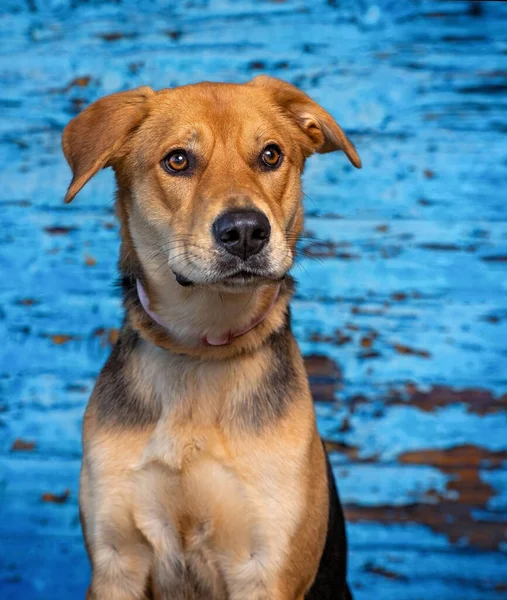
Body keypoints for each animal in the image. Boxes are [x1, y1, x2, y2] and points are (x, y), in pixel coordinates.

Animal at [62, 76, 362, 600]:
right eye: (178, 160)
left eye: (271, 155)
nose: (245, 231)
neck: (199, 346)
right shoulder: (116, 560)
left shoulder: (266, 568)